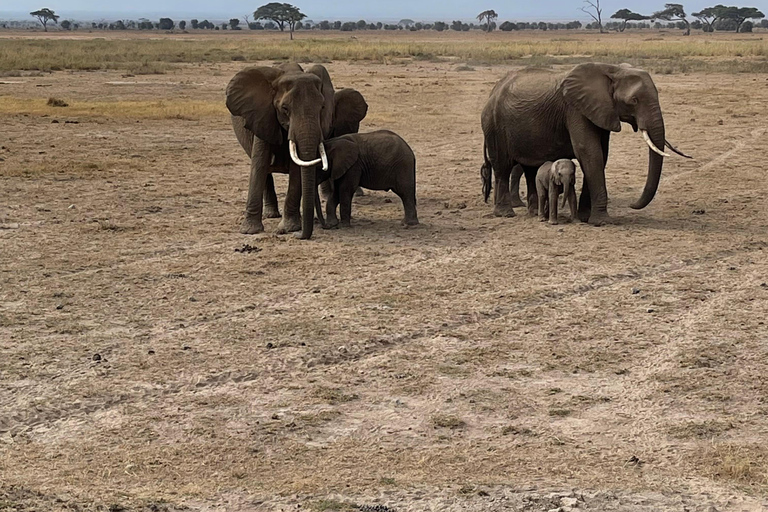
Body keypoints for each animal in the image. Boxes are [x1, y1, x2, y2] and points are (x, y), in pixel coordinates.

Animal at [480, 61, 688, 224]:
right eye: (634, 100)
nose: (632, 204)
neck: (613, 70)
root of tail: (493, 92)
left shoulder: (601, 111)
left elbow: (601, 154)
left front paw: (586, 217)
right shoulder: (575, 109)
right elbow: (589, 152)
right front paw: (601, 221)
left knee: (530, 168)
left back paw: (533, 213)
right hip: (494, 126)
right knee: (503, 168)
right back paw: (506, 214)